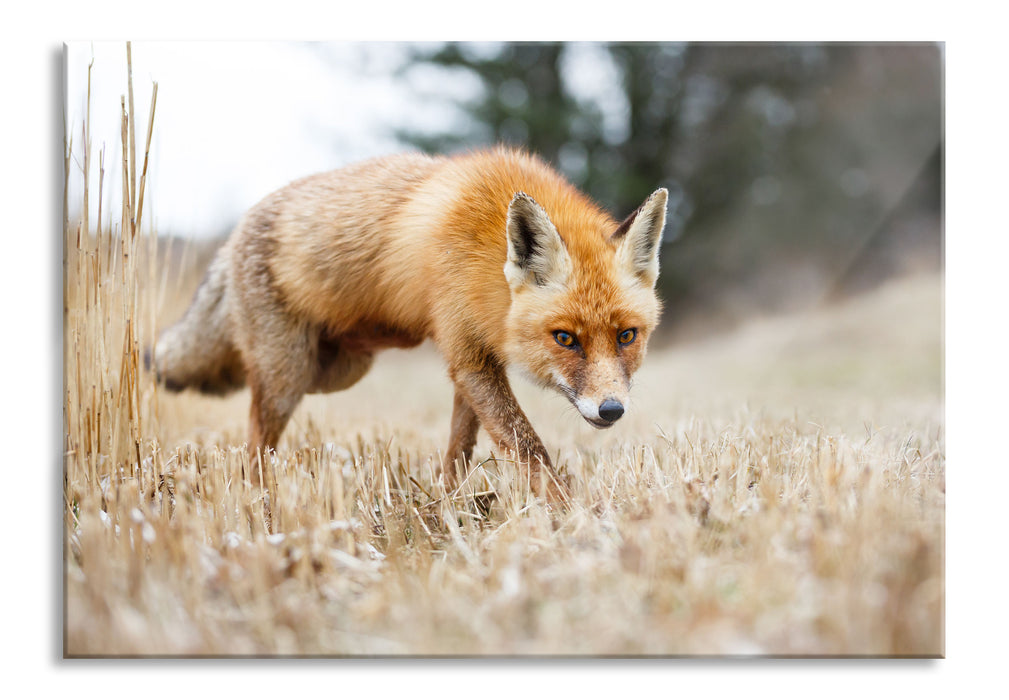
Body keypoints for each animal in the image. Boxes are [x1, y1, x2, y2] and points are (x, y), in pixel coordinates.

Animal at [149, 146, 665, 504]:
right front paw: (570, 515)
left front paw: (449, 502)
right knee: (255, 440)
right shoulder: (468, 356)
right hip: (288, 378)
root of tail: (233, 233)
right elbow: (527, 446)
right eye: (565, 338)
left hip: (336, 369)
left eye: (626, 336)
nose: (611, 410)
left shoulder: (474, 358)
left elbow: (461, 446)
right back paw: (257, 498)